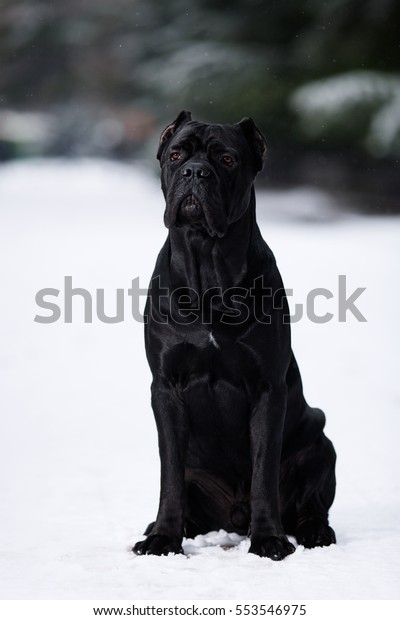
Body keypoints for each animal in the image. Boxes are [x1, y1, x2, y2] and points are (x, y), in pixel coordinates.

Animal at [133, 112, 336, 560]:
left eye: (226, 160)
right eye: (177, 154)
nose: (195, 172)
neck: (208, 268)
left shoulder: (267, 388)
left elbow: (263, 475)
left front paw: (269, 540)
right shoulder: (166, 387)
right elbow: (169, 477)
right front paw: (163, 539)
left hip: (319, 442)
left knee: (312, 505)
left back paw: (314, 532)